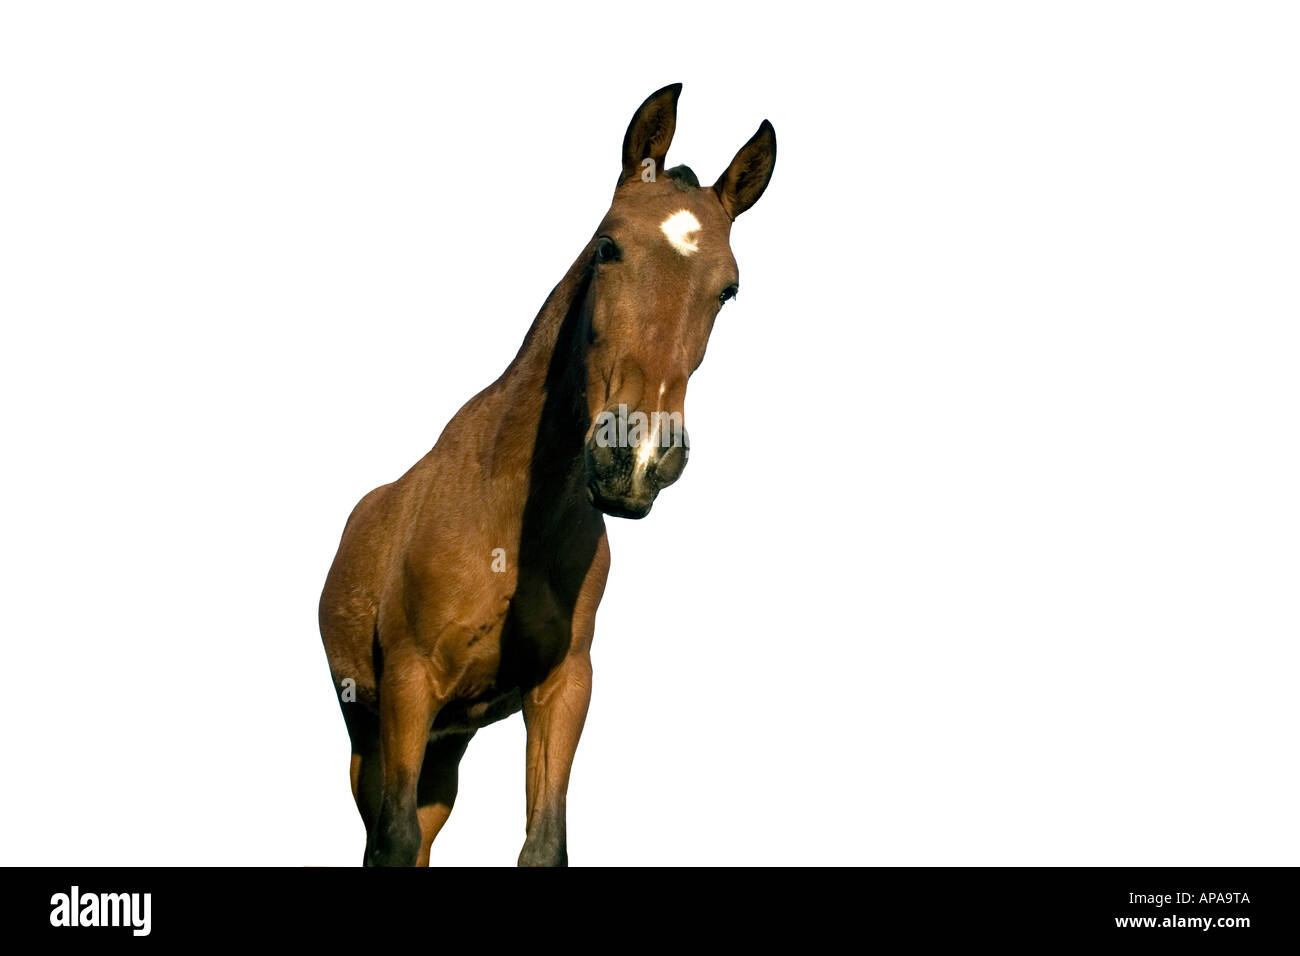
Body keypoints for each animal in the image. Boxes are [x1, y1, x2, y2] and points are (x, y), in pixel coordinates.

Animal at [319, 85, 774, 868]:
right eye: (608, 245)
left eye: (730, 289)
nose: (637, 457)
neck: (503, 512)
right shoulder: (409, 684)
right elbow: (394, 840)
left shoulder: (564, 687)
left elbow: (544, 842)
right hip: (368, 732)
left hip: (449, 741)